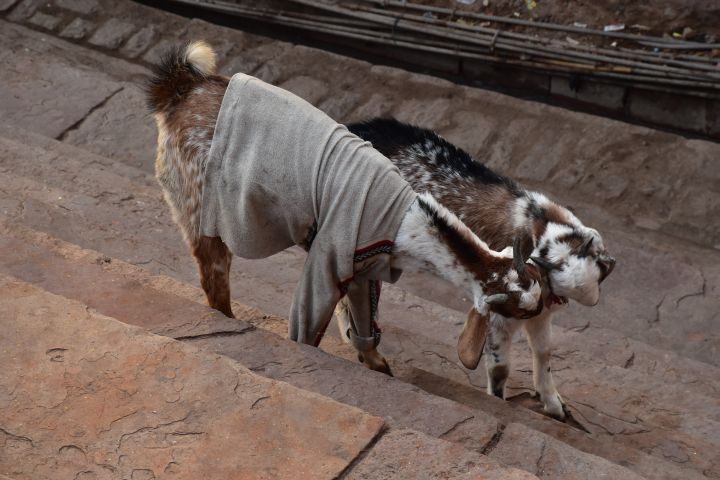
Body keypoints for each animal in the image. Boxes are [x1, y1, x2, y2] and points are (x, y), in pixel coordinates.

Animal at [143, 42, 544, 376]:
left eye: (537, 287)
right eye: (522, 309)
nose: (542, 311)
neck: (408, 216)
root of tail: (181, 90)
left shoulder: (366, 268)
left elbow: (364, 320)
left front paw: (376, 363)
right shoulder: (329, 257)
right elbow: (308, 321)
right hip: (199, 202)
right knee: (213, 276)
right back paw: (227, 320)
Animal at [348, 118, 612, 418]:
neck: (539, 227)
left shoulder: (541, 314)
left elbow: (544, 352)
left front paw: (554, 405)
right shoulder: (501, 317)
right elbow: (500, 368)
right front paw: (498, 403)